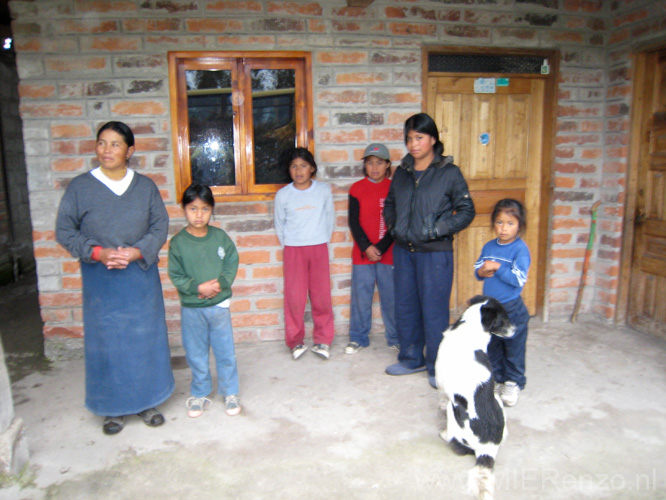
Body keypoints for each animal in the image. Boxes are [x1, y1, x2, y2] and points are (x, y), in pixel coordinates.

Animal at [434, 294, 516, 498]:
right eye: (503, 320)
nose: (515, 330)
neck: (469, 329)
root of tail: (488, 448)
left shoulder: (440, 380)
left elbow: (440, 397)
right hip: (498, 401)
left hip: (453, 410)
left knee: (454, 441)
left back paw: (444, 433)